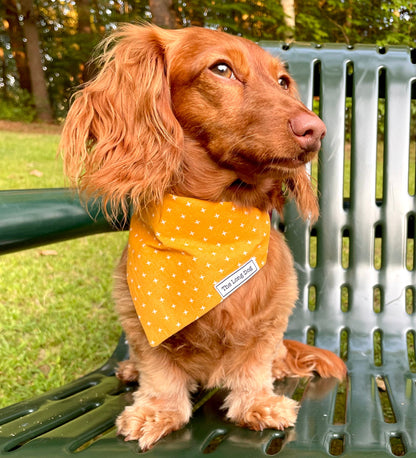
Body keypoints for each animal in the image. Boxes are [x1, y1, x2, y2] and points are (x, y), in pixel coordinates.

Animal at [60, 24, 346, 450]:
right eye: (222, 69)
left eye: (283, 81)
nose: (316, 130)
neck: (212, 225)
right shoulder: (138, 319)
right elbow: (159, 371)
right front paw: (157, 411)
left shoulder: (271, 318)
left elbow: (254, 365)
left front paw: (257, 404)